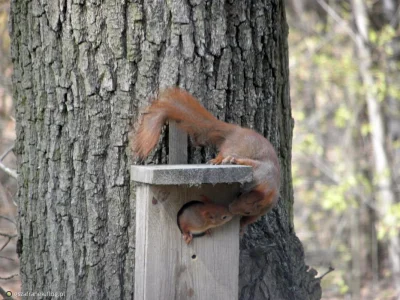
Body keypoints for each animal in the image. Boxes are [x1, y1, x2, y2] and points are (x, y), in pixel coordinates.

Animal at [132, 88, 282, 233]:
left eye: (247, 211)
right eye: (239, 194)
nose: (230, 208)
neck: (267, 183)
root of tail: (236, 131)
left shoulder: (262, 210)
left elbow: (250, 219)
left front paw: (241, 227)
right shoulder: (260, 167)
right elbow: (247, 162)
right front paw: (234, 161)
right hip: (234, 146)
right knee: (224, 153)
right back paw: (219, 160)